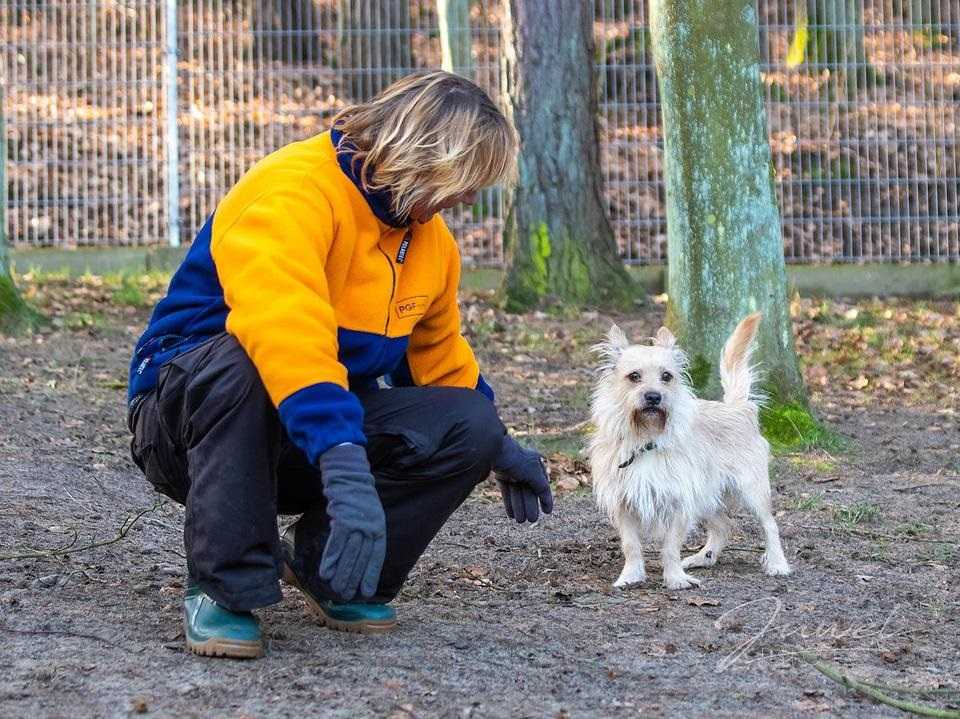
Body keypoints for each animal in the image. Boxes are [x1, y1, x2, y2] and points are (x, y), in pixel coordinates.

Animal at [588, 316, 792, 592]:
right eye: (634, 376)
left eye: (666, 376)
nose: (654, 396)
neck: (648, 439)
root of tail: (738, 408)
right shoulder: (624, 505)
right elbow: (630, 546)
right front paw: (630, 576)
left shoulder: (680, 503)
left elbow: (671, 546)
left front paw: (675, 578)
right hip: (706, 495)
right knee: (724, 525)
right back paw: (704, 557)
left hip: (752, 490)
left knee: (770, 525)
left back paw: (778, 563)